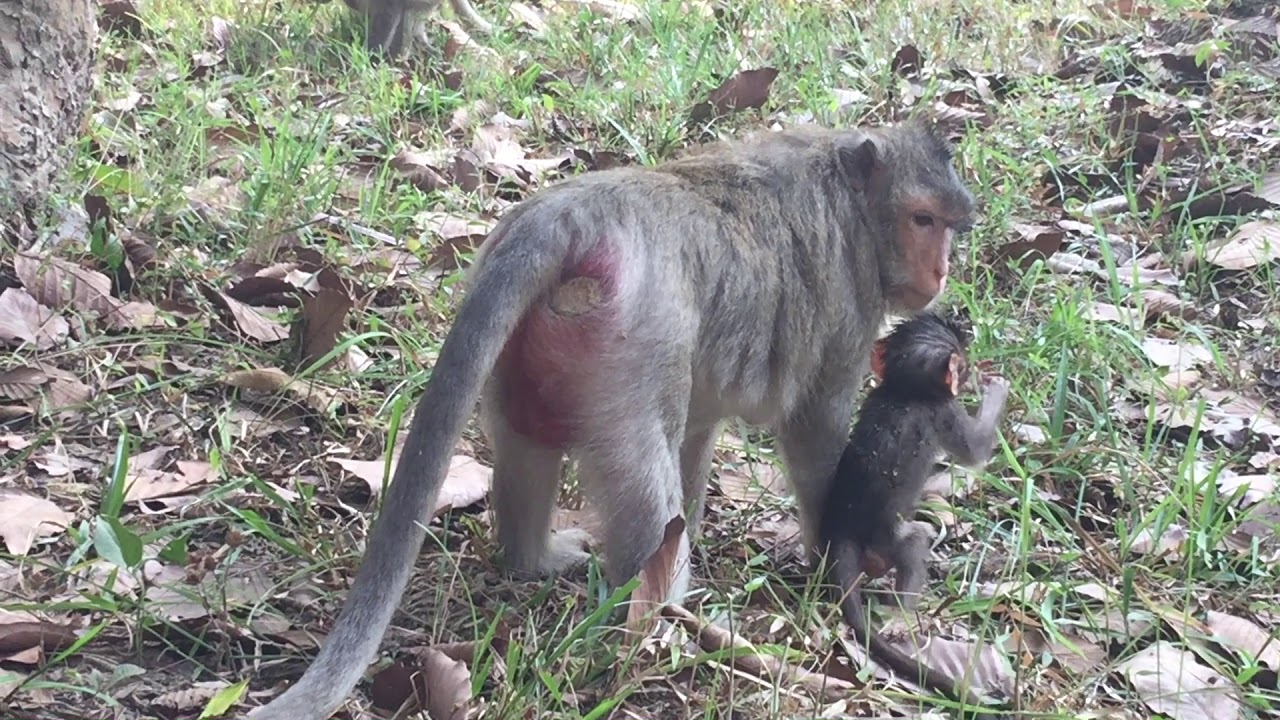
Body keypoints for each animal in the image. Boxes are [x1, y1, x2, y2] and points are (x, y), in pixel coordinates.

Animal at [242, 120, 976, 720]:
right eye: (922, 220)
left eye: (946, 226)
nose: (940, 271)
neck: (851, 195)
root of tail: (570, 215)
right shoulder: (848, 307)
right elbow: (816, 429)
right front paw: (841, 560)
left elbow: (698, 433)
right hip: (630, 345)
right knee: (643, 475)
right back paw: (670, 625)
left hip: (534, 347)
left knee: (532, 440)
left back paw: (533, 560)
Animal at [816, 311, 1010, 718]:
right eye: (961, 366)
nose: (967, 373)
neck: (904, 391)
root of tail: (844, 527)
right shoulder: (945, 412)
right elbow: (975, 452)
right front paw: (996, 390)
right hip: (887, 539)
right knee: (915, 539)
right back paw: (903, 614)